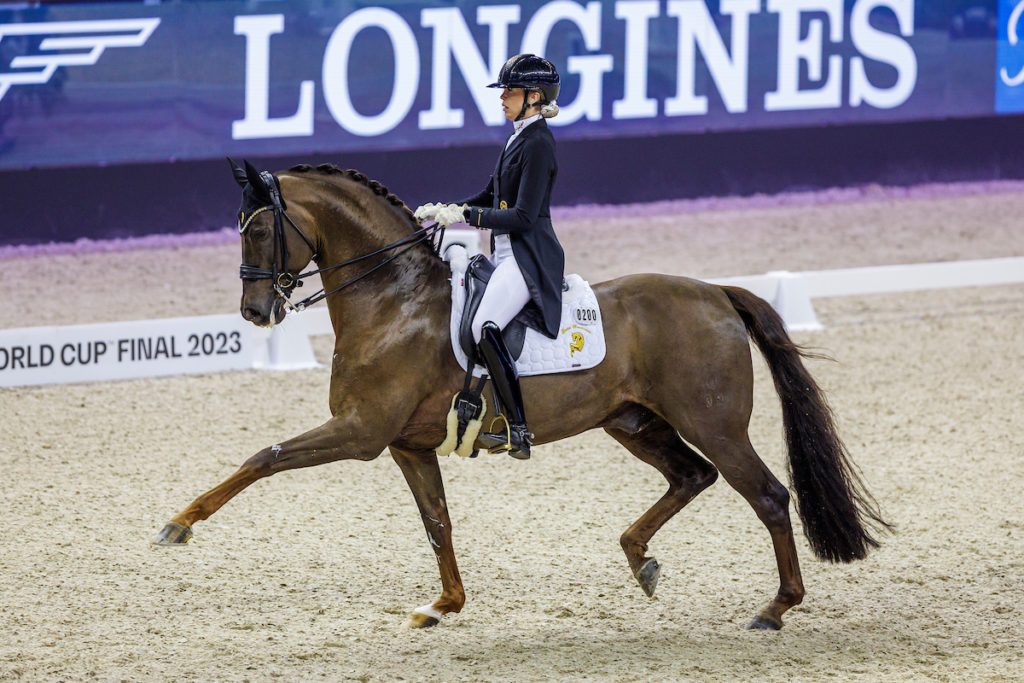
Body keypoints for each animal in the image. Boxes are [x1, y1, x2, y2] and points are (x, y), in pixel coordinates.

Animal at [151, 160, 888, 630]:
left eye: (257, 229)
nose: (255, 313)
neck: (392, 298)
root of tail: (716, 293)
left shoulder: (361, 431)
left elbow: (263, 456)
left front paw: (179, 524)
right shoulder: (405, 444)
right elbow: (438, 522)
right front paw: (443, 605)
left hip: (715, 423)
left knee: (767, 495)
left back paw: (775, 608)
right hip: (633, 421)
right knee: (691, 476)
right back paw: (640, 559)